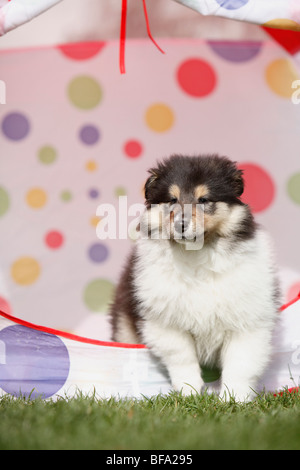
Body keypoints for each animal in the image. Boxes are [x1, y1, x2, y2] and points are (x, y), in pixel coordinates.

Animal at [109, 155, 280, 404]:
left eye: (204, 200)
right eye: (172, 199)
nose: (181, 225)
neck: (196, 253)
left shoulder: (248, 323)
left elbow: (240, 365)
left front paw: (234, 400)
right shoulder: (166, 323)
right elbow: (183, 359)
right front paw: (189, 394)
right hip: (124, 323)